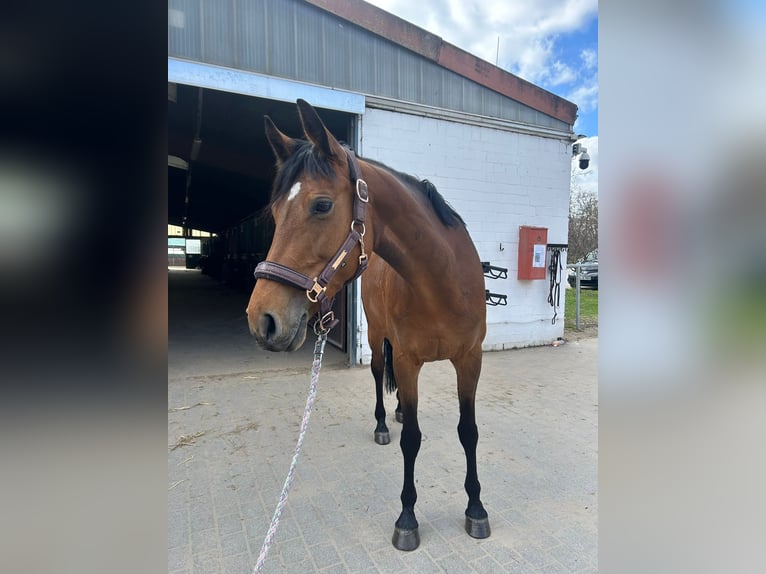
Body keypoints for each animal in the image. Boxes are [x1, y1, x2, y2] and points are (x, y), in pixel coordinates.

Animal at [246, 99, 490, 551]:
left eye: (321, 205)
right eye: (274, 212)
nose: (262, 320)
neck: (442, 282)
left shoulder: (470, 360)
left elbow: (469, 432)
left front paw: (476, 508)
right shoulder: (408, 361)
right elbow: (412, 440)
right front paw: (407, 518)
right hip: (378, 339)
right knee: (378, 373)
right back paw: (382, 423)